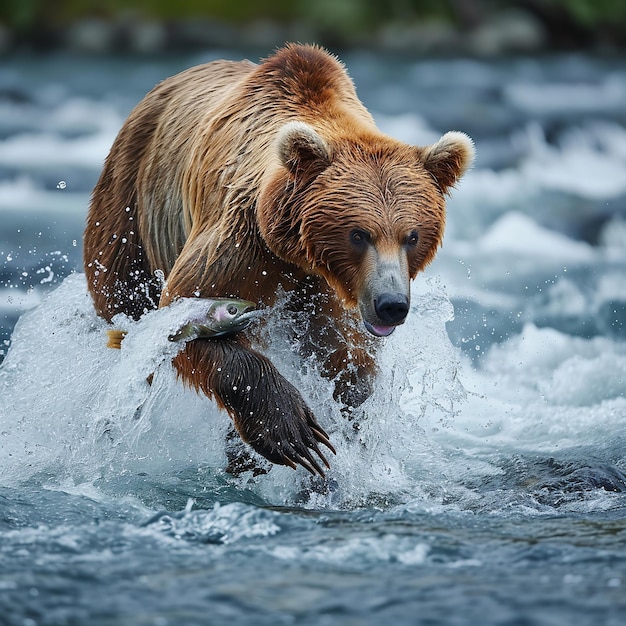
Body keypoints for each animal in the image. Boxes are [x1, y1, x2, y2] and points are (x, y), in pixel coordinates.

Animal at [84, 42, 472, 472]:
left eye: (412, 236)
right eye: (358, 234)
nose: (391, 304)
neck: (296, 254)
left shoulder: (330, 290)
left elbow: (347, 358)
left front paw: (349, 420)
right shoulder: (240, 245)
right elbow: (186, 316)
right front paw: (293, 431)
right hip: (130, 211)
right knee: (125, 306)